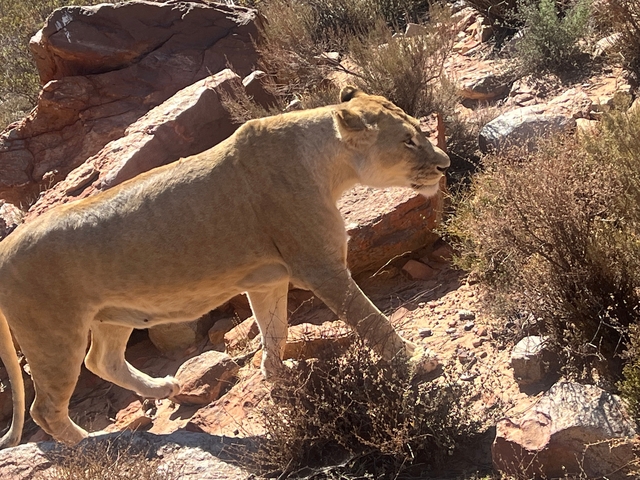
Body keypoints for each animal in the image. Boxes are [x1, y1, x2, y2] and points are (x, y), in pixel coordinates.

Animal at [0, 86, 449, 448]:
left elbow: (275, 330)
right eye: (408, 141)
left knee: (101, 361)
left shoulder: (268, 279)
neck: (329, 163)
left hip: (113, 314)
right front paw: (415, 358)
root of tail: (4, 246)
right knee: (45, 408)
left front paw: (279, 375)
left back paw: (161, 387)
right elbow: (373, 320)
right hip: (54, 335)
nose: (445, 164)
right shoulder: (320, 267)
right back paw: (90, 444)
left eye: (419, 132)